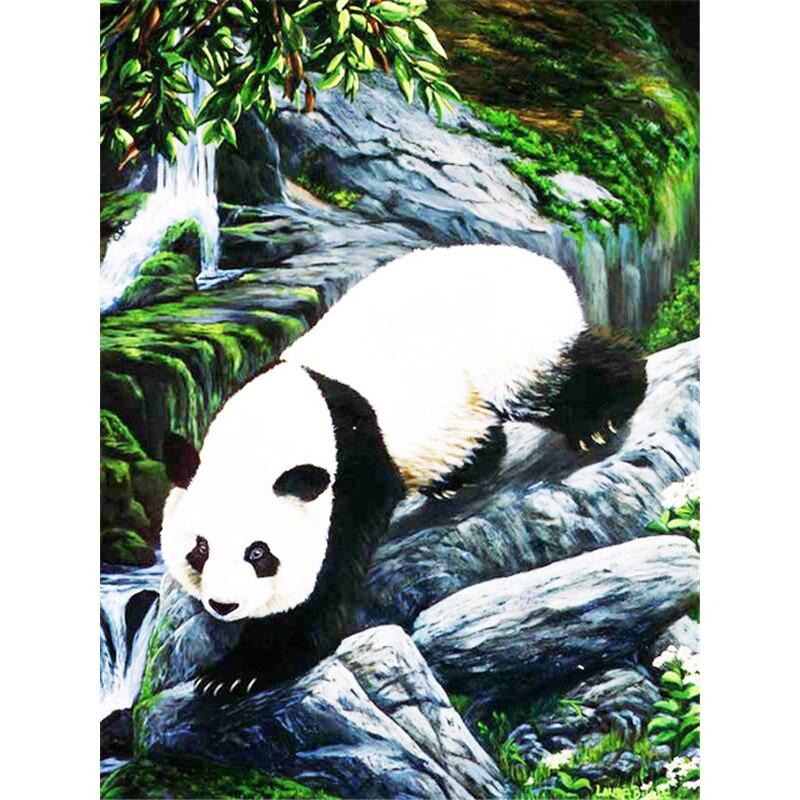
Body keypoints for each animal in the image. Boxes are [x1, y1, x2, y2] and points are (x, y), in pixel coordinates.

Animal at [160, 244, 647, 698]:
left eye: (259, 553)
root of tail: (546, 266)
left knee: (548, 378)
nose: (223, 604)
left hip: (506, 342)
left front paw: (246, 669)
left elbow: (328, 574)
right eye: (199, 548)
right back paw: (460, 476)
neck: (264, 433)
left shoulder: (352, 464)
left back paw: (602, 417)